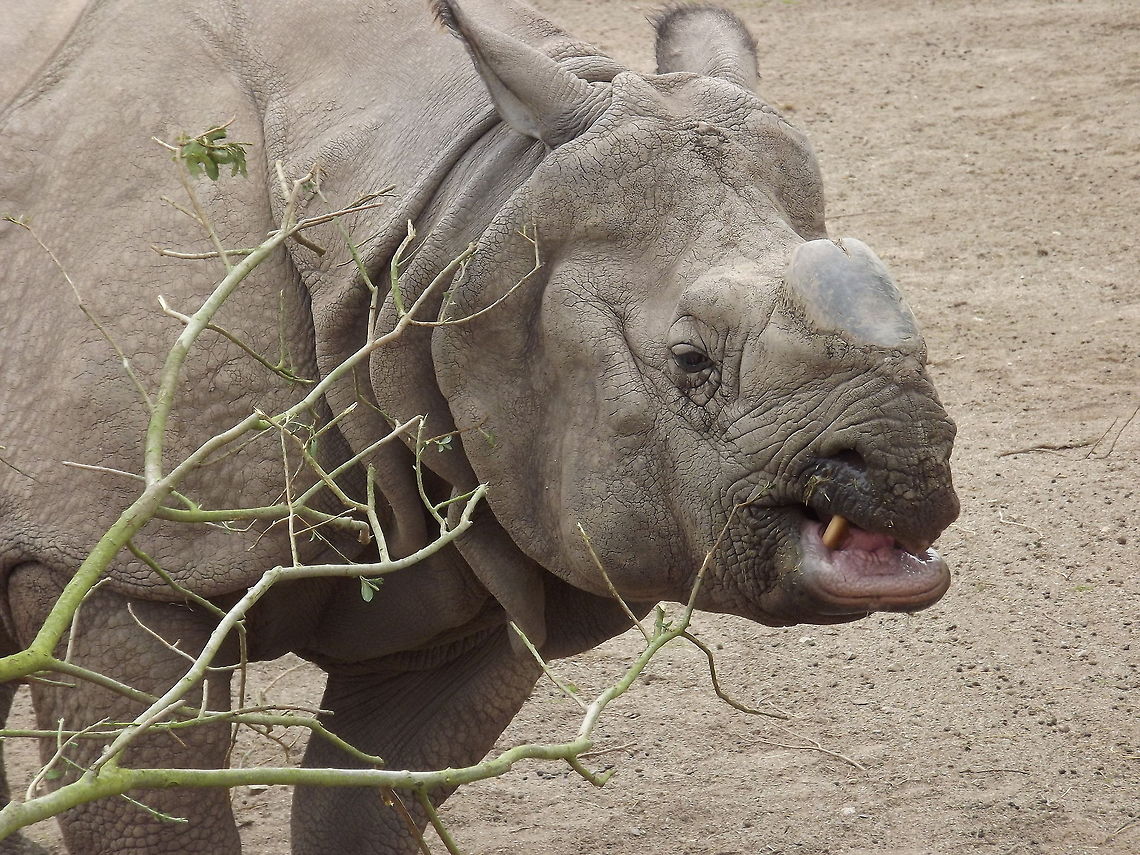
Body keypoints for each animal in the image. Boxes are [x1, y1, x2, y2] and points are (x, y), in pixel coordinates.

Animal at [0, 0, 959, 852]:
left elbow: (365, 808)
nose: (907, 465)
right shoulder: (117, 561)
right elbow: (149, 804)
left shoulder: (493, 534)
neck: (465, 213)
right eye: (690, 360)